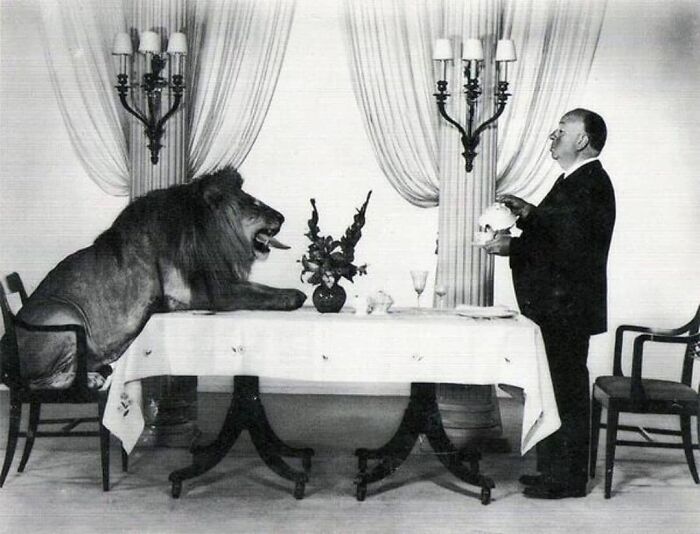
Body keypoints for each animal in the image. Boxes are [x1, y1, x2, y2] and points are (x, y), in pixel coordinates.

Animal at [1, 168, 306, 390]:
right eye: (254, 204)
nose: (282, 216)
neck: (209, 235)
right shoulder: (203, 293)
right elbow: (258, 292)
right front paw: (295, 295)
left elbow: (258, 288)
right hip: (65, 314)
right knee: (36, 381)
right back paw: (90, 378)